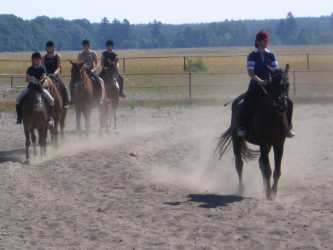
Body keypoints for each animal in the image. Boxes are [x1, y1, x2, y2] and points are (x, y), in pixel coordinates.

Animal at [215, 65, 290, 201]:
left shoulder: (279, 144)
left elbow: (277, 170)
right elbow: (268, 169)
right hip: (237, 140)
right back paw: (241, 189)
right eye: (273, 85)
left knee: (260, 164)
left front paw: (273, 192)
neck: (271, 116)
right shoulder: (264, 144)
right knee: (239, 164)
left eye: (287, 84)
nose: (282, 105)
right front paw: (269, 193)